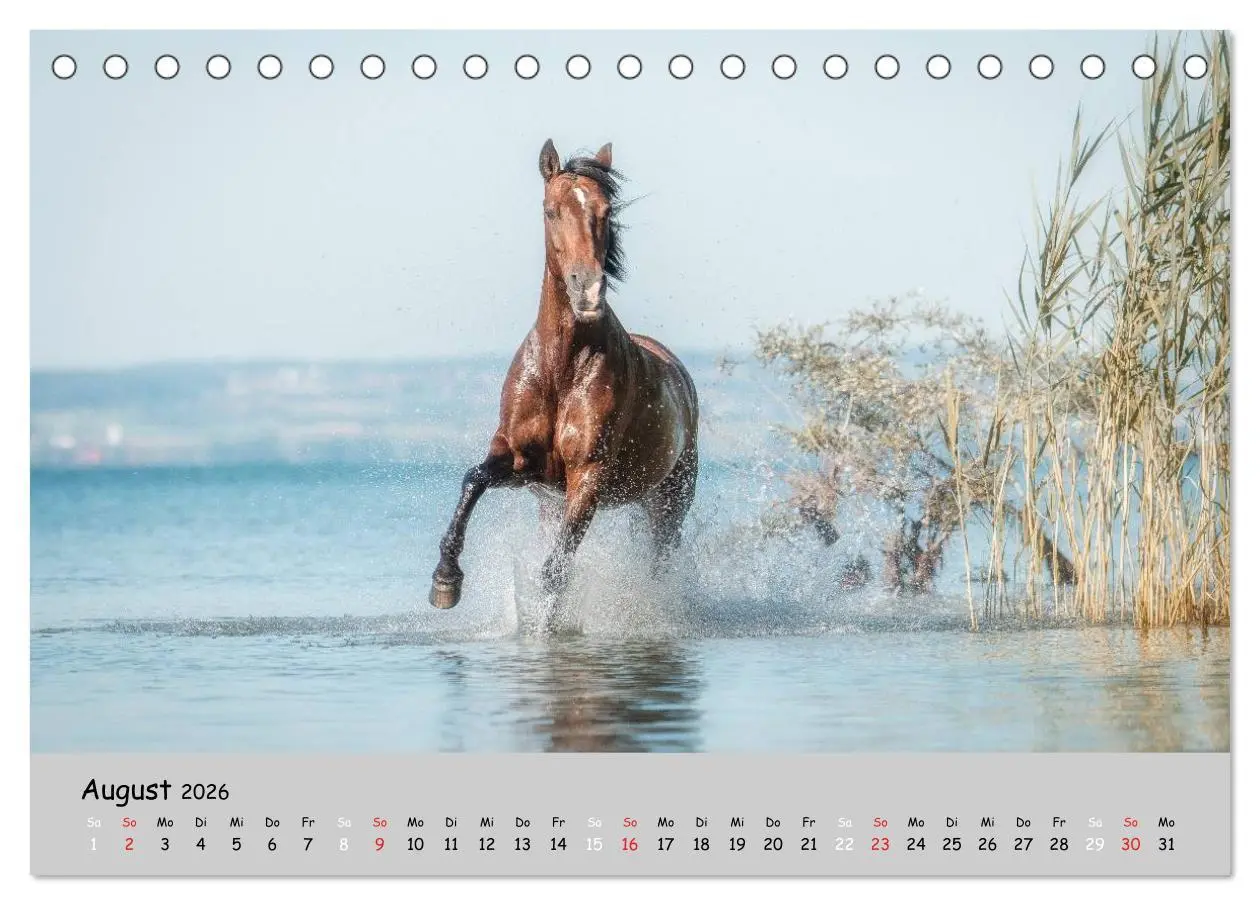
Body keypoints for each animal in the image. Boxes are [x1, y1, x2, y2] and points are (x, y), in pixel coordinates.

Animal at [429, 139, 700, 612]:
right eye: (551, 210)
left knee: (661, 555)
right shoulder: (523, 462)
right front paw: (446, 579)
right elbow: (473, 479)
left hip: (668, 500)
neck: (562, 368)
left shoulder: (586, 477)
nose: (587, 290)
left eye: (606, 210)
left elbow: (556, 570)